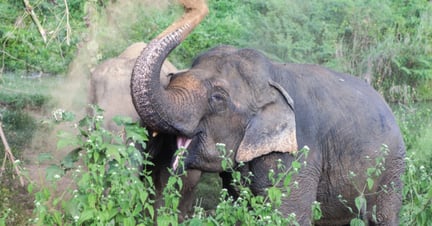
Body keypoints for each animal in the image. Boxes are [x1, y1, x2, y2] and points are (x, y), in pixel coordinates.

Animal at [130, 0, 406, 226]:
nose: (189, 5)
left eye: (218, 98)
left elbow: (288, 214)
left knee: (384, 215)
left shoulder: (298, 155)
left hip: (392, 168)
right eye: (172, 77)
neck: (272, 78)